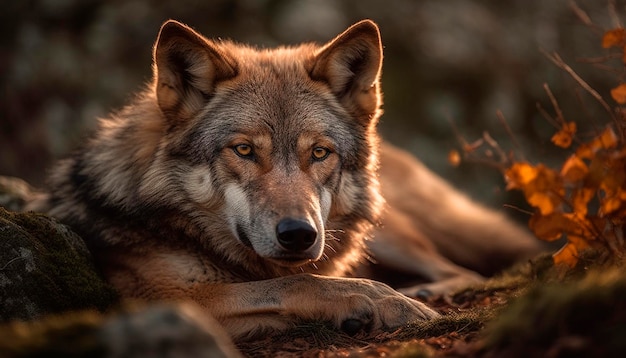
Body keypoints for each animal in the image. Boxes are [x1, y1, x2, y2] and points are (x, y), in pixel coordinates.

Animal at [29, 18, 540, 338]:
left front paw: (386, 302)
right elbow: (299, 283)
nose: (298, 234)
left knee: (463, 269)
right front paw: (370, 302)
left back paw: (424, 289)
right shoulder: (157, 299)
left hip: (385, 232)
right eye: (244, 150)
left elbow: (303, 280)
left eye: (319, 153)